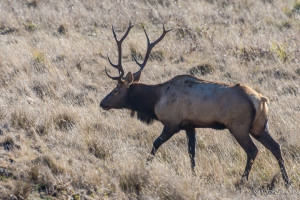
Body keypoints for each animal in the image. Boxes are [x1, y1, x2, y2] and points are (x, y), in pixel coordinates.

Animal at [100, 23, 290, 188]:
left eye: (116, 90)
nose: (102, 103)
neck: (155, 101)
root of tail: (261, 100)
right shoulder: (190, 125)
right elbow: (192, 152)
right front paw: (194, 173)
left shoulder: (172, 122)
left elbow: (155, 143)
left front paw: (146, 165)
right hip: (259, 126)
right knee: (276, 146)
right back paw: (287, 181)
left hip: (239, 126)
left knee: (252, 150)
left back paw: (242, 180)